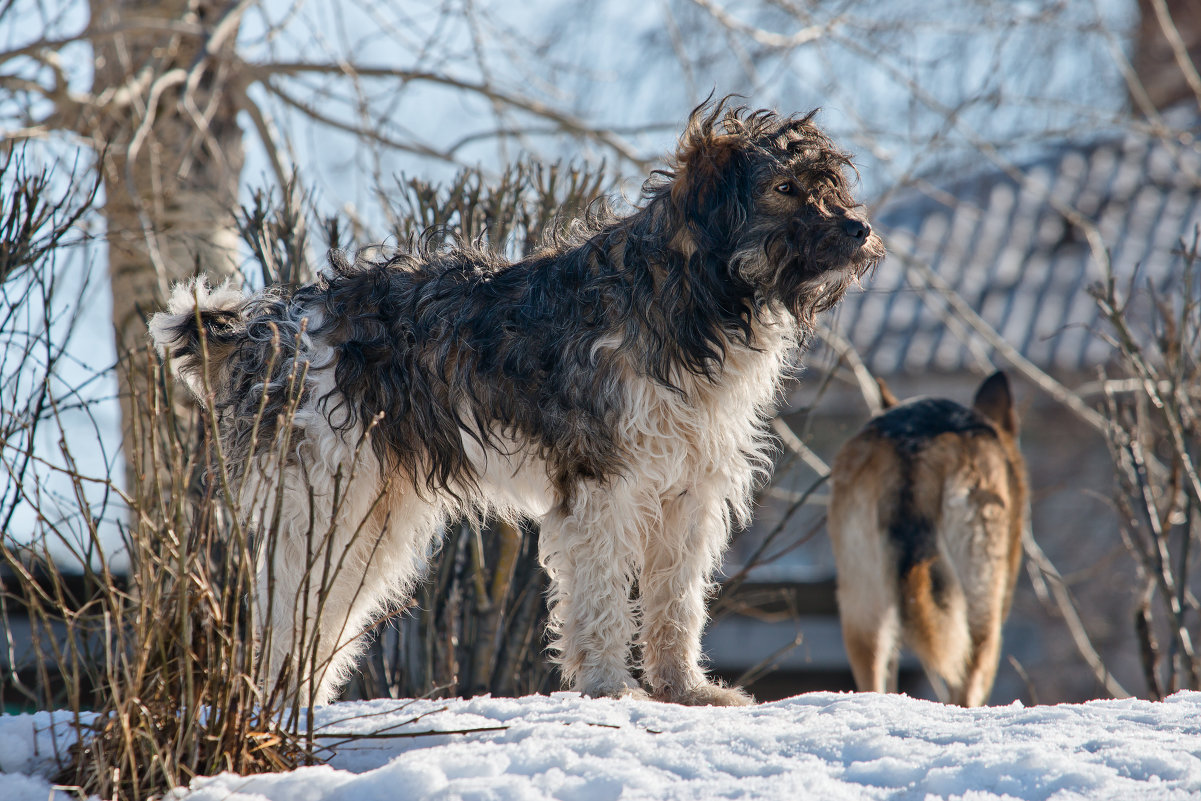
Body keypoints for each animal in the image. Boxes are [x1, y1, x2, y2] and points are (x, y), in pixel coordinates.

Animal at [147, 100, 883, 706]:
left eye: (829, 185)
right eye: (783, 188)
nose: (859, 229)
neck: (687, 297)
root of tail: (265, 326)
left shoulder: (689, 491)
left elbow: (675, 602)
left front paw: (683, 690)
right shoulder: (602, 484)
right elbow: (601, 598)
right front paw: (609, 689)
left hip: (371, 518)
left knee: (319, 618)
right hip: (320, 505)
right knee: (284, 614)